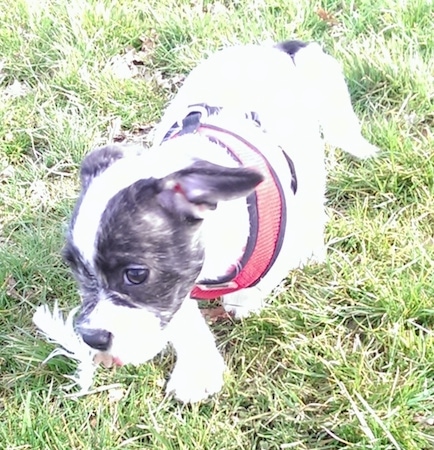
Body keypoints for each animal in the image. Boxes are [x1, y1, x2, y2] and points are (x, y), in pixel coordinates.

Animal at [62, 40, 378, 402]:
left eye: (136, 275)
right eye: (74, 267)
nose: (92, 337)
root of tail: (271, 48)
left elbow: (258, 283)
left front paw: (243, 300)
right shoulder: (179, 283)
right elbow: (186, 324)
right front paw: (198, 372)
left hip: (308, 156)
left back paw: (310, 248)